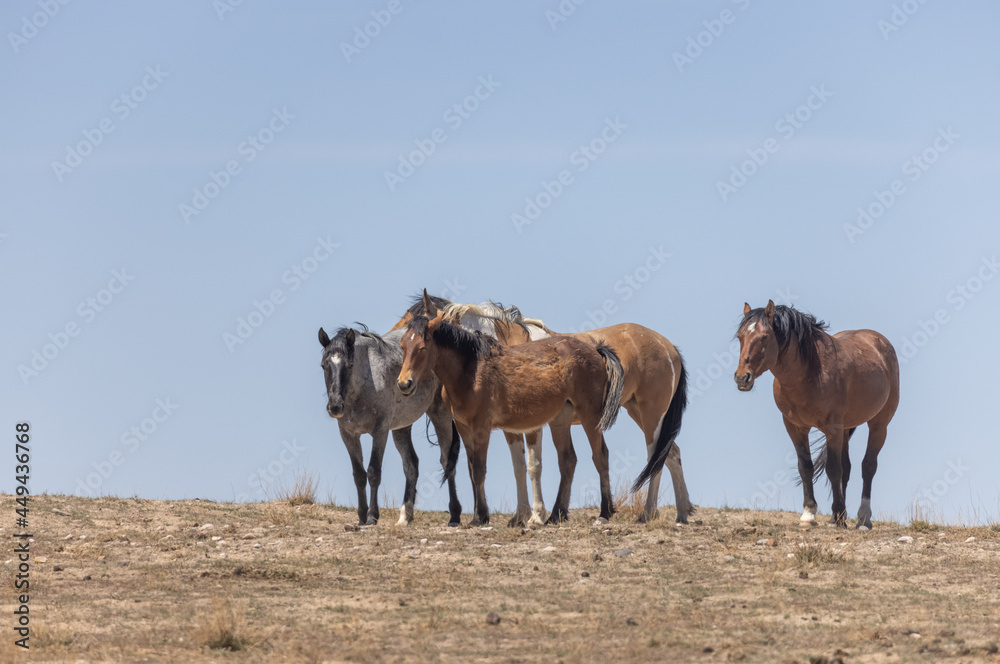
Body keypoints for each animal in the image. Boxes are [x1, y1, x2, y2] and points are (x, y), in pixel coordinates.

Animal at [318, 325, 462, 526]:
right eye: (324, 366)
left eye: (349, 365)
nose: (336, 406)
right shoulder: (348, 434)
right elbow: (359, 475)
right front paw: (361, 517)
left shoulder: (380, 431)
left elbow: (373, 471)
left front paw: (372, 516)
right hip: (402, 427)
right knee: (411, 464)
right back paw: (405, 517)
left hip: (440, 414)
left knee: (447, 462)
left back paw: (454, 515)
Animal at [393, 297, 692, 525]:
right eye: (403, 339)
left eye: (420, 344)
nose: (404, 383)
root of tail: (668, 346)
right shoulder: (510, 426)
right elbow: (514, 467)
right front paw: (519, 516)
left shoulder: (527, 425)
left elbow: (531, 466)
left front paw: (533, 515)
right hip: (636, 412)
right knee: (670, 453)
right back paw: (681, 512)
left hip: (643, 414)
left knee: (645, 456)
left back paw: (634, 513)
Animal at [734, 300, 899, 529]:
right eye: (740, 336)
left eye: (765, 337)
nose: (742, 378)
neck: (809, 374)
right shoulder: (795, 427)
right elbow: (806, 467)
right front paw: (810, 514)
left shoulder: (832, 428)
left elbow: (833, 469)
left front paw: (836, 516)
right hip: (845, 428)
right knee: (847, 468)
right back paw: (839, 517)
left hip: (879, 424)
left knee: (868, 466)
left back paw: (863, 518)